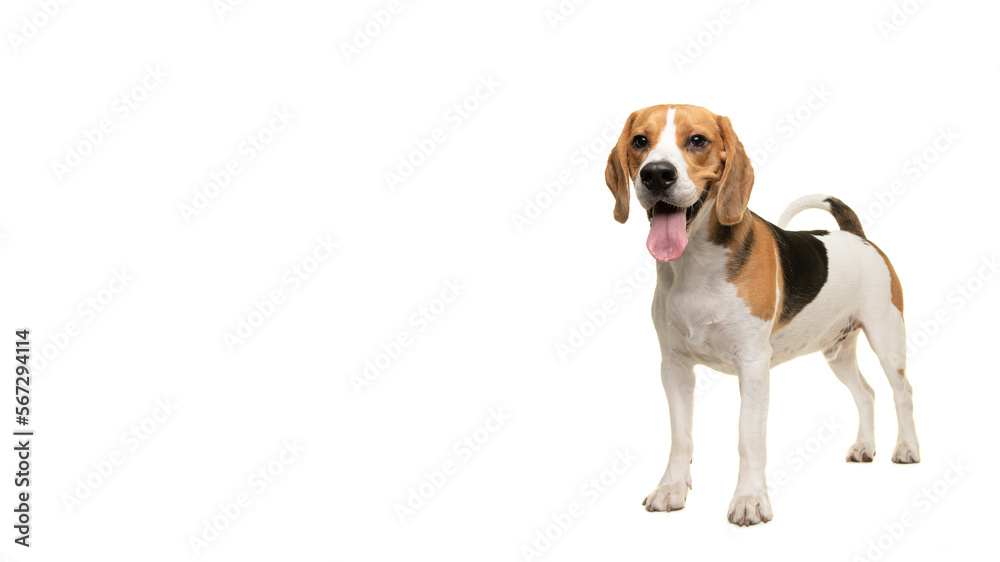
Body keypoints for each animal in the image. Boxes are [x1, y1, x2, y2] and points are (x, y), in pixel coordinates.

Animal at [604, 104, 916, 524]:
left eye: (697, 141)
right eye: (640, 141)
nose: (656, 173)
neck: (695, 264)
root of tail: (857, 236)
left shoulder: (753, 366)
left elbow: (748, 438)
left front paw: (749, 500)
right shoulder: (674, 366)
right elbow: (681, 435)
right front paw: (671, 489)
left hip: (887, 338)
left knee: (903, 392)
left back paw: (907, 448)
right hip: (837, 351)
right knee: (865, 393)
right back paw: (865, 446)